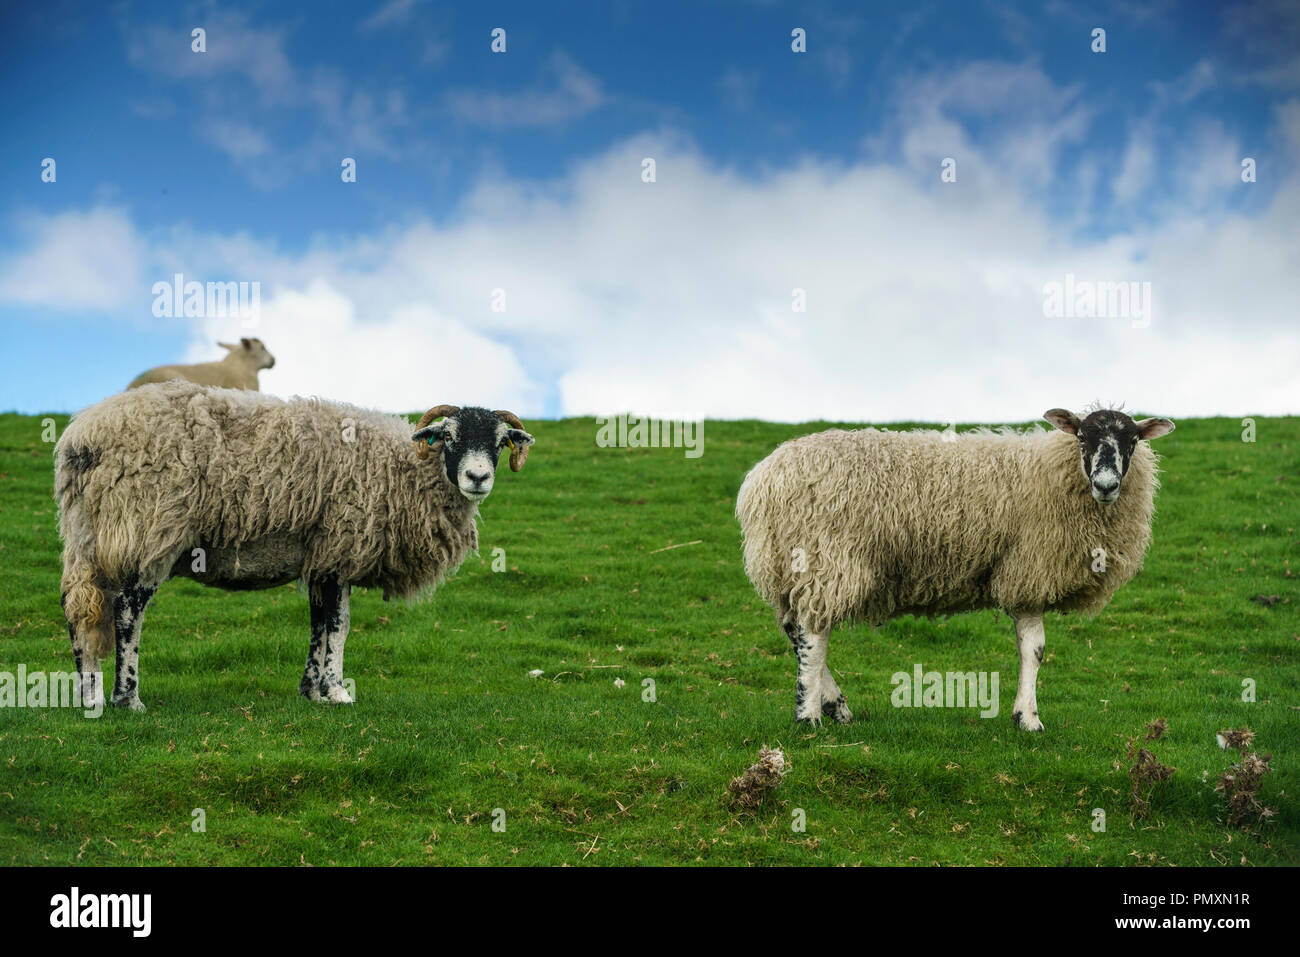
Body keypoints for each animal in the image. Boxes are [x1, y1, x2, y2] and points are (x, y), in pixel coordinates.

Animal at [55, 380, 534, 711]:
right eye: (449, 437)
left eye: (499, 442)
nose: (477, 478)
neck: (404, 471)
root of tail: (83, 436)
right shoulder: (343, 545)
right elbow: (339, 624)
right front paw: (338, 691)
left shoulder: (321, 558)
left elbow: (318, 624)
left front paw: (312, 691)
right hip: (148, 528)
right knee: (126, 611)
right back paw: (128, 698)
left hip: (88, 535)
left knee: (80, 609)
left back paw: (90, 696)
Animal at [735, 406, 1175, 730]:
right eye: (1082, 436)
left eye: (1133, 439)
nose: (1106, 484)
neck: (1056, 472)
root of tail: (762, 481)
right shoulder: (1028, 571)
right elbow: (1034, 649)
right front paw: (1029, 719)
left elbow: (1031, 649)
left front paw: (1022, 714)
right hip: (825, 557)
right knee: (813, 635)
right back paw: (809, 715)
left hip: (791, 565)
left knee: (794, 628)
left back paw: (835, 706)